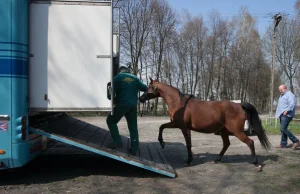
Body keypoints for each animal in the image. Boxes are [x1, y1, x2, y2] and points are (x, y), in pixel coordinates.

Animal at [141, 78, 272, 169]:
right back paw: (217, 159)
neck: (180, 103)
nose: (141, 99)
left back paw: (256, 164)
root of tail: (239, 105)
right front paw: (162, 142)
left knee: (250, 142)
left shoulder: (184, 128)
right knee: (226, 144)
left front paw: (188, 161)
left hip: (236, 131)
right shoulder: (176, 124)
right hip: (224, 131)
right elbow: (161, 127)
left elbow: (188, 144)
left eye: (149, 87)